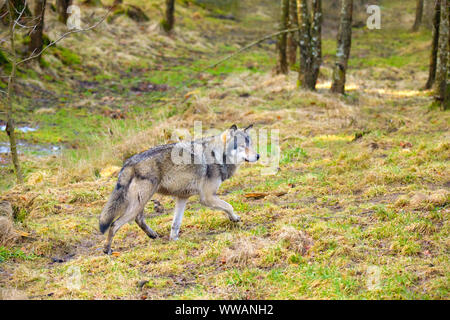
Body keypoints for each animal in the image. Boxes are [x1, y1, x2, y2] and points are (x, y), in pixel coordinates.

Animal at [98, 124, 260, 254]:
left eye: (251, 144)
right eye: (242, 146)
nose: (258, 156)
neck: (217, 155)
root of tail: (128, 162)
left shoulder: (182, 197)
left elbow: (175, 223)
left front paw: (174, 240)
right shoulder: (207, 197)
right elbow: (229, 206)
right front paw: (235, 218)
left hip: (140, 202)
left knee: (138, 219)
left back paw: (152, 235)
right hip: (140, 202)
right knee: (114, 224)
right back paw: (107, 249)